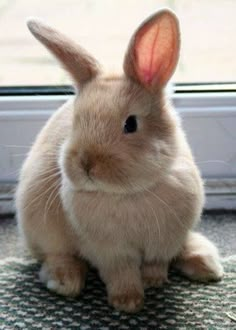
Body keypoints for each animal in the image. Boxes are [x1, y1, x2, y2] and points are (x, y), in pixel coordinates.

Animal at [16, 8, 223, 312]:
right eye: (76, 121)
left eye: (131, 124)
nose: (86, 165)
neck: (128, 194)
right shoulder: (110, 252)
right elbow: (121, 273)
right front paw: (128, 301)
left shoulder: (162, 243)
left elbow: (156, 264)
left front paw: (153, 281)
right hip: (40, 228)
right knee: (55, 255)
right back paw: (64, 279)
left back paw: (206, 263)